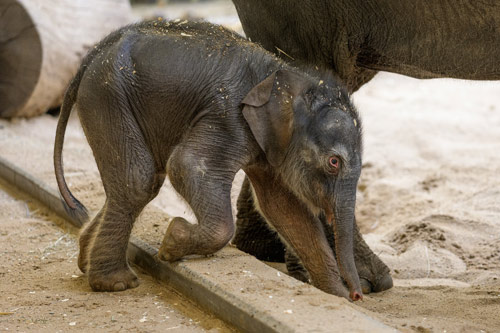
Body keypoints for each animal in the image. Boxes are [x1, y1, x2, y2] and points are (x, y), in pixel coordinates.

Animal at [53, 20, 364, 300]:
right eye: (334, 162)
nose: (357, 295)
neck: (284, 73)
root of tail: (95, 52)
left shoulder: (269, 144)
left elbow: (284, 209)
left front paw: (338, 298)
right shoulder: (228, 117)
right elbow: (187, 164)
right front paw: (170, 243)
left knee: (141, 182)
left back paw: (86, 261)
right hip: (107, 97)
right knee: (139, 181)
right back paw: (116, 284)